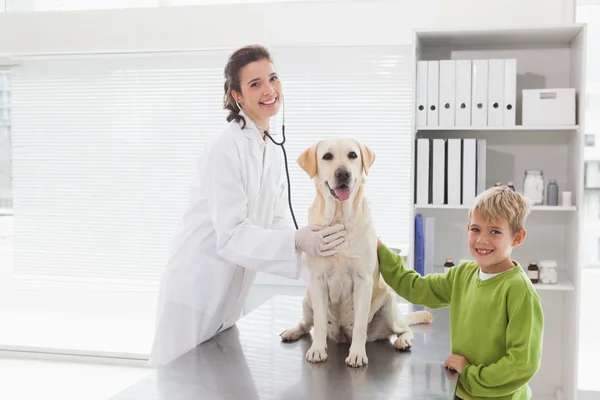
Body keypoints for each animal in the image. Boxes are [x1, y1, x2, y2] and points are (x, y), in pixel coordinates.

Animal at [282, 139, 432, 368]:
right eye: (327, 156)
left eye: (352, 155)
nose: (343, 173)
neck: (340, 217)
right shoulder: (318, 281)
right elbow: (319, 323)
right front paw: (317, 349)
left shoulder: (363, 281)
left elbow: (361, 324)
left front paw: (357, 354)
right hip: (307, 297)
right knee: (306, 324)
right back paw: (293, 331)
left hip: (388, 305)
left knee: (403, 328)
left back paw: (403, 341)